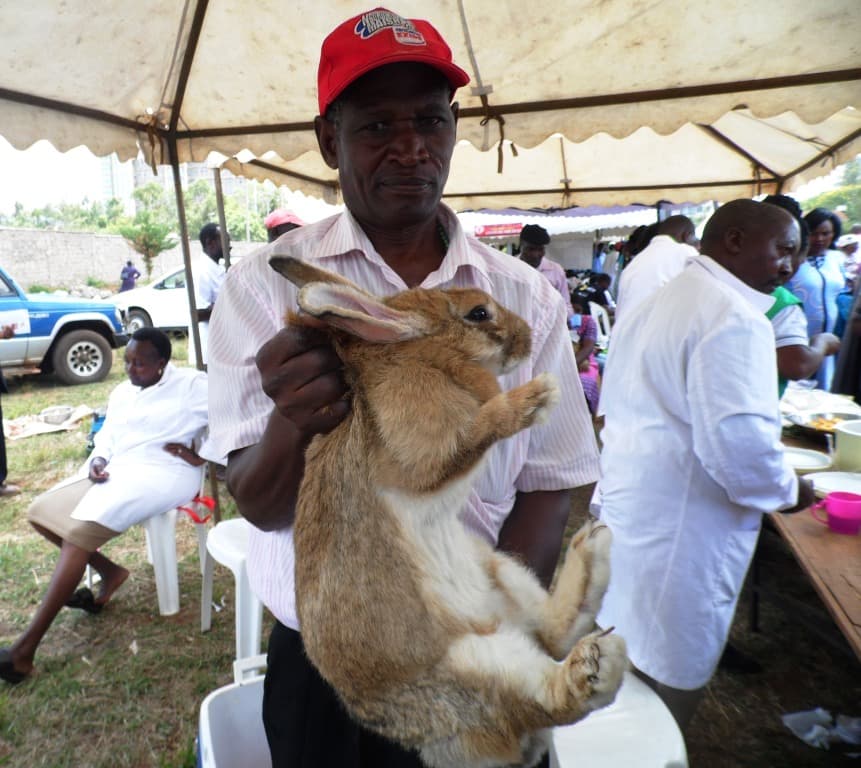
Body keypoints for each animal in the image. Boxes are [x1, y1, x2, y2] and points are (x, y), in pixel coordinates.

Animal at [269, 255, 627, 768]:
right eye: (479, 313)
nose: (526, 337)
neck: (423, 353)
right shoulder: (422, 453)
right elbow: (473, 434)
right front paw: (536, 398)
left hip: (501, 570)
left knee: (551, 637)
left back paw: (591, 549)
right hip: (477, 670)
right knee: (545, 697)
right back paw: (592, 665)